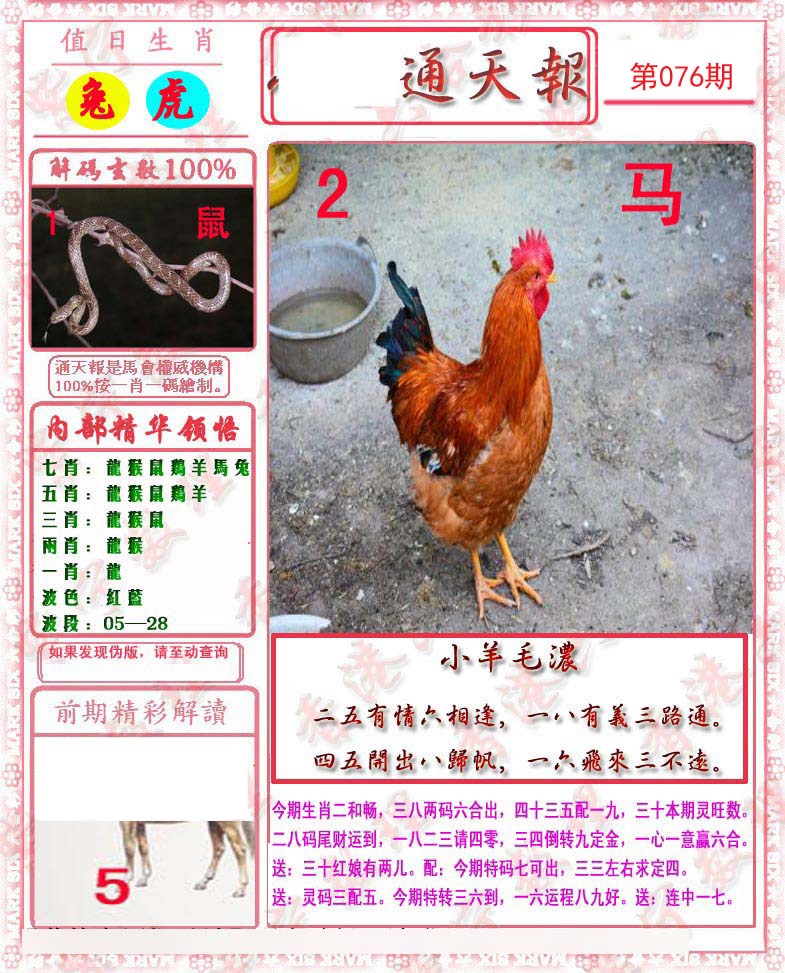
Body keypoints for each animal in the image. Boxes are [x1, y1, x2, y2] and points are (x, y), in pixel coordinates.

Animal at [119, 821, 254, 898]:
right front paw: (144, 879)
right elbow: (143, 847)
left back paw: (240, 890)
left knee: (239, 849)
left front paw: (125, 881)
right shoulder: (139, 823)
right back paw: (203, 882)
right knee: (219, 848)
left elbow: (128, 848)